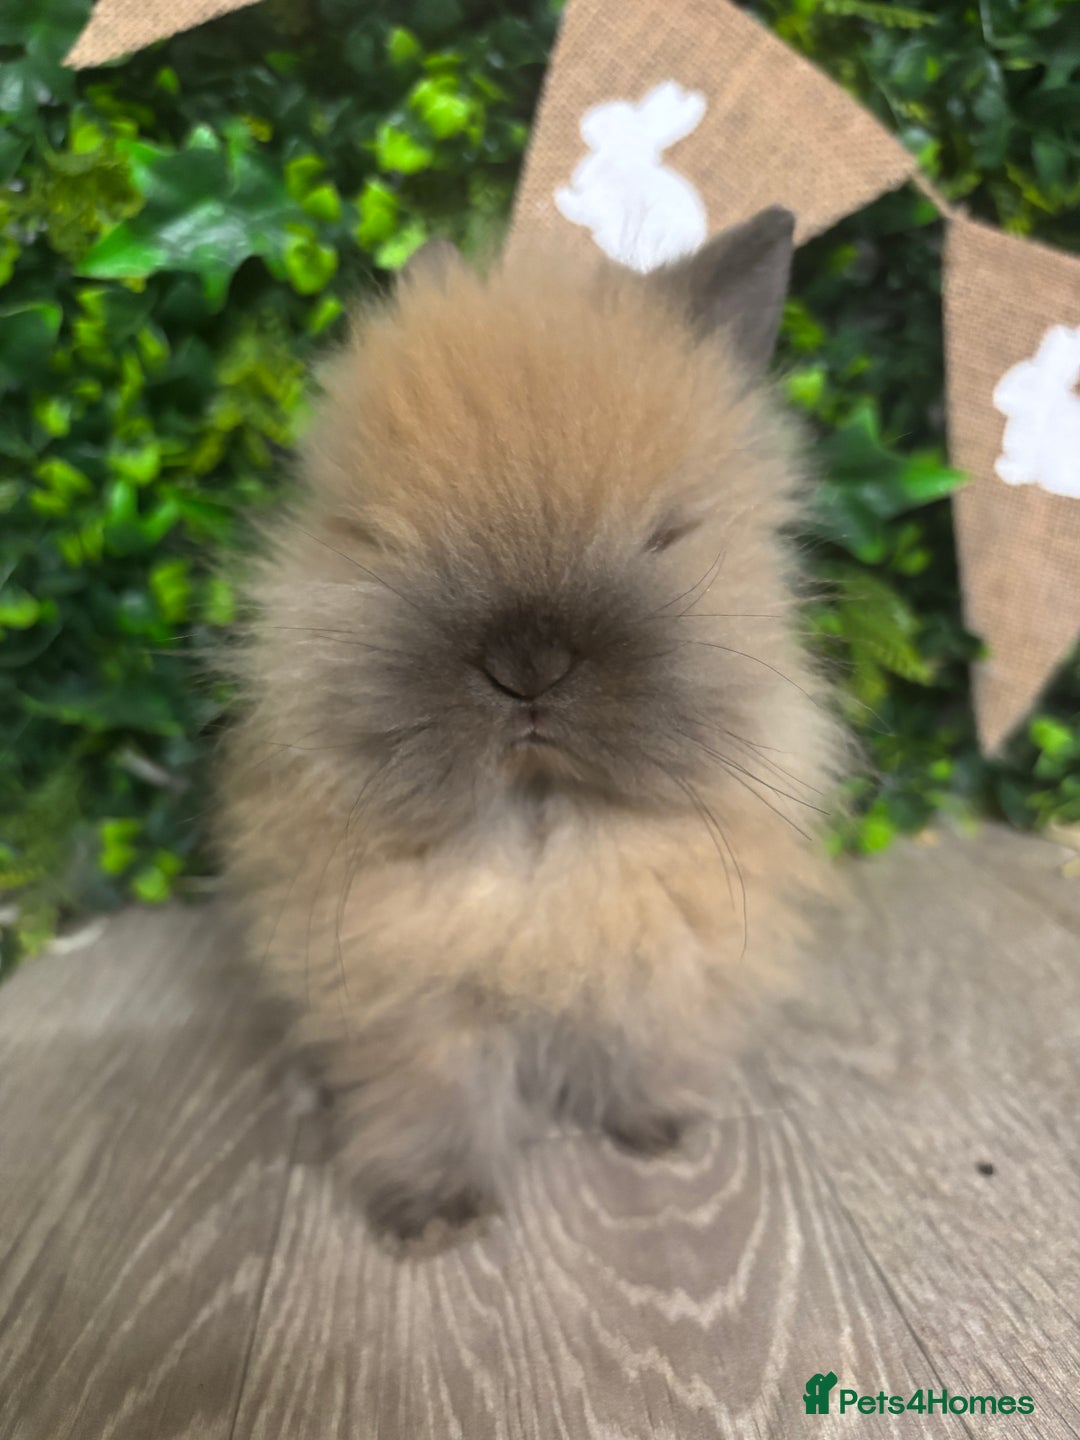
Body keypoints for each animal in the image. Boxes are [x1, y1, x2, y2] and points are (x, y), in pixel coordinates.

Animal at [220, 209, 845, 1241]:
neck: (540, 823)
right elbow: (432, 1090)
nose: (527, 664)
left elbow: (644, 1043)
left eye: (668, 533)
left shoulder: (661, 960)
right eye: (374, 536)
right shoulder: (409, 994)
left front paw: (656, 1129)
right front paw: (433, 1215)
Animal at [555, 80, 708, 272]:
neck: (624, 153)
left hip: (654, 228)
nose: (585, 123)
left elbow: (578, 210)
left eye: (609, 119)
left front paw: (560, 195)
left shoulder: (607, 206)